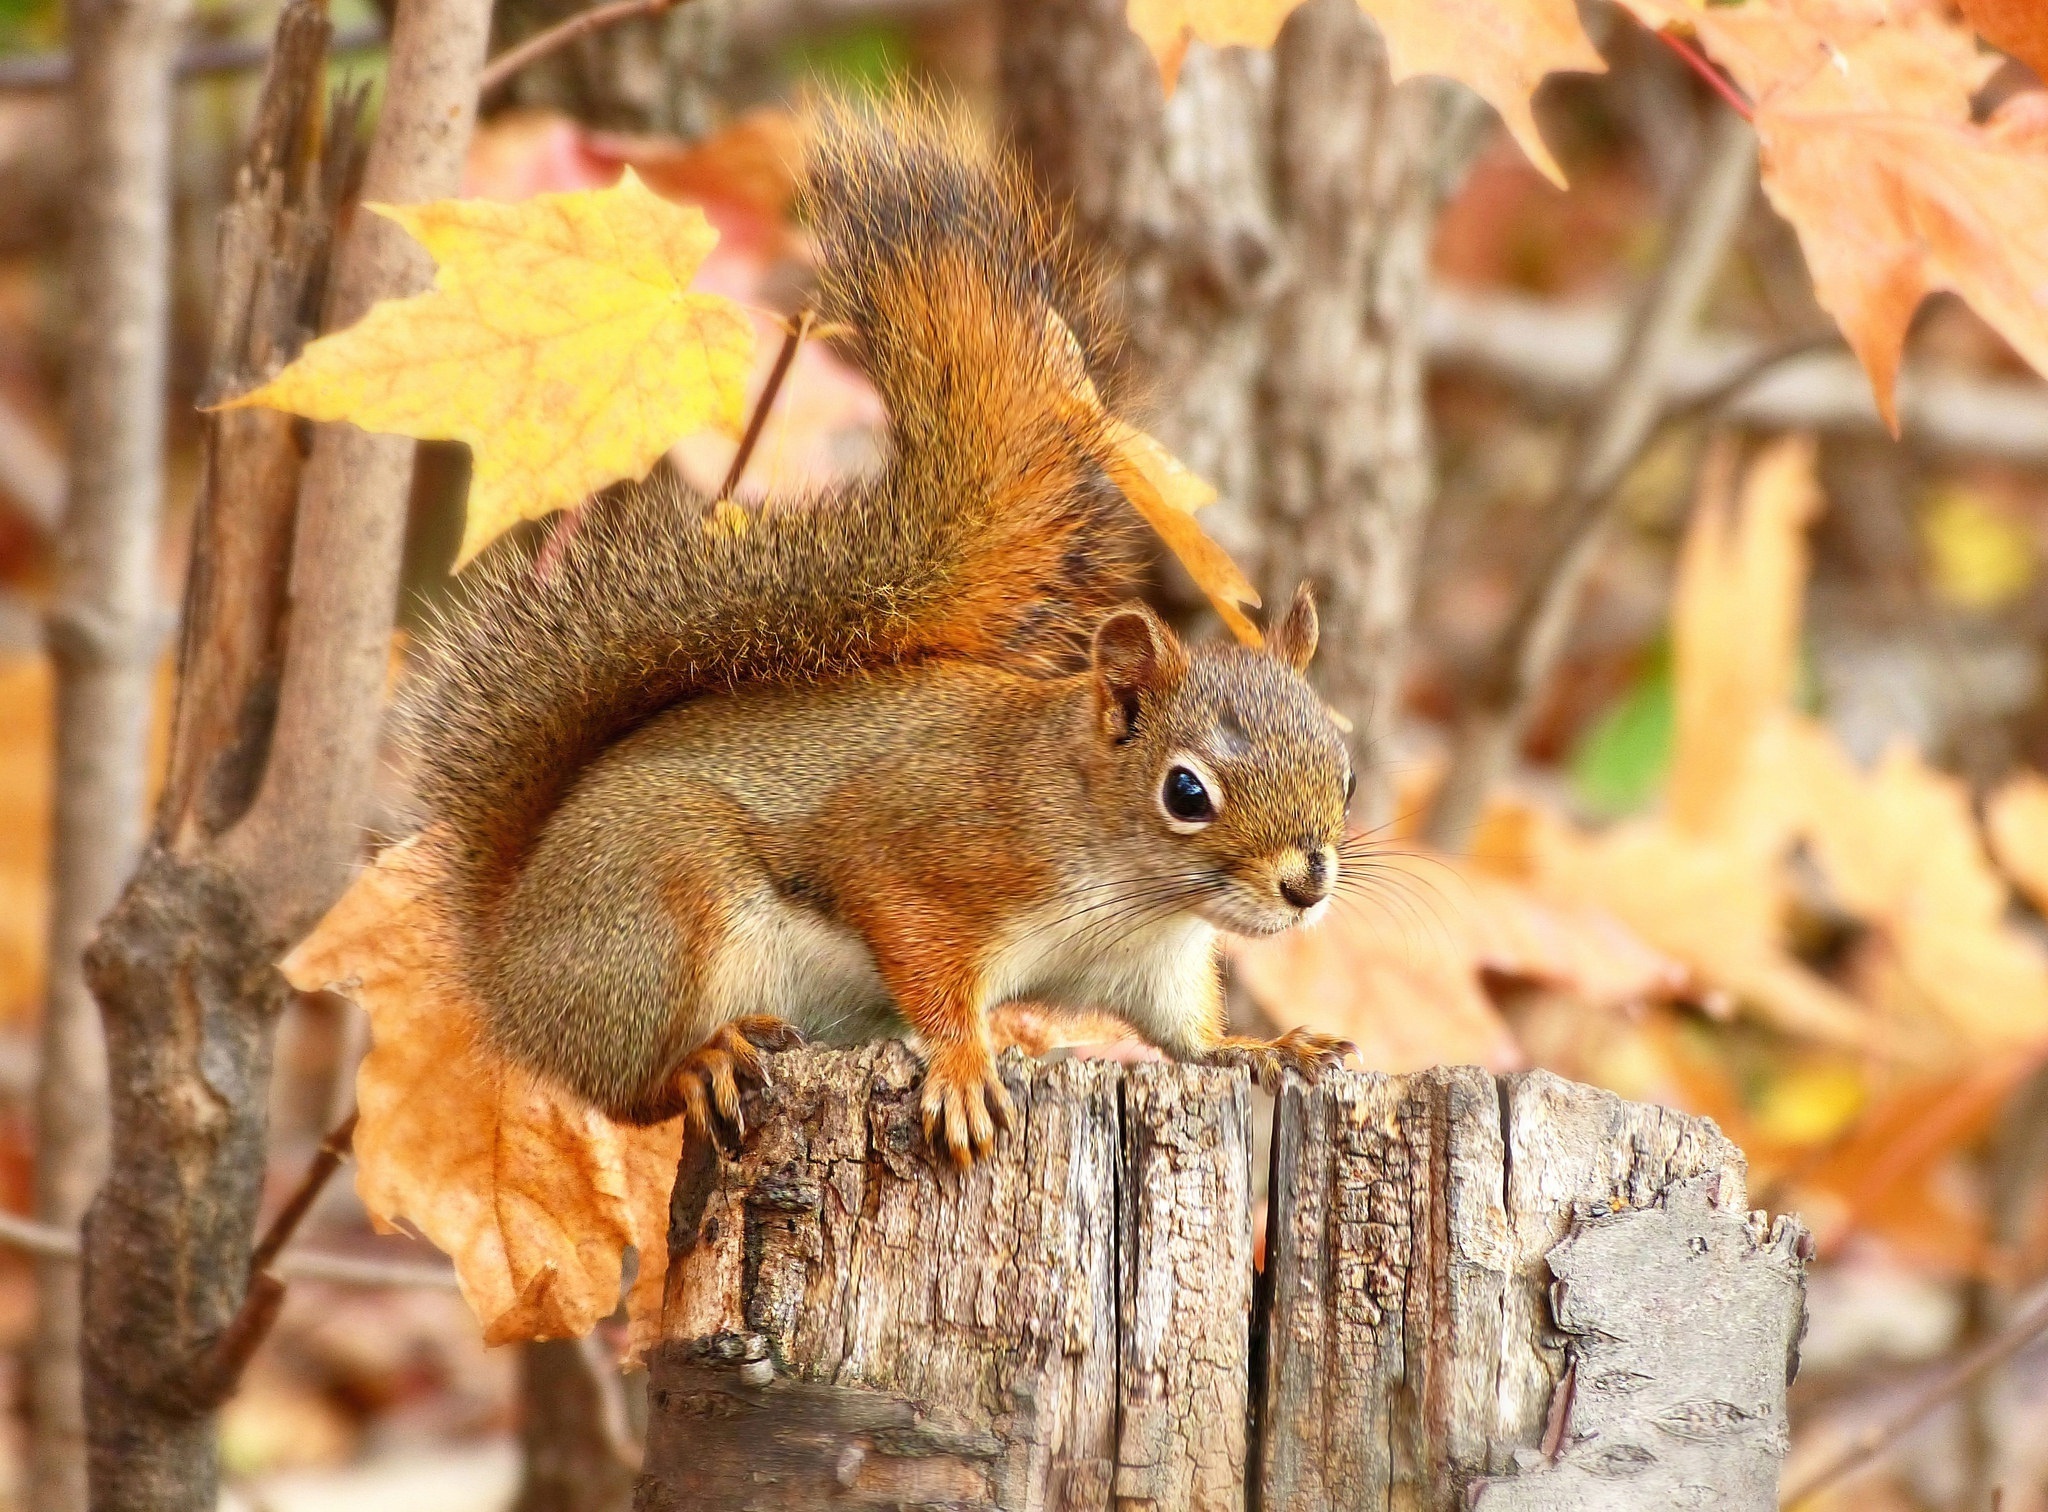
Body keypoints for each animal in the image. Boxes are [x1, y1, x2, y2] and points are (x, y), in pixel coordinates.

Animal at [403, 100, 1359, 1163]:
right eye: (1186, 793)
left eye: (1344, 771)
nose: (1306, 884)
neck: (1128, 876)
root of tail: (506, 960)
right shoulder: (932, 856)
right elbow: (926, 965)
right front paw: (965, 1067)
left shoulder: (1156, 963)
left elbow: (1188, 1039)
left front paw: (1269, 1046)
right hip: (658, 915)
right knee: (626, 1088)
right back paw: (702, 1061)